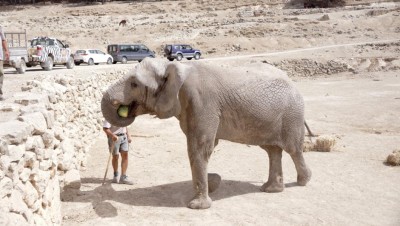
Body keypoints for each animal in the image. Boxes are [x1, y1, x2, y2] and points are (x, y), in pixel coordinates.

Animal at [101, 57, 312, 208]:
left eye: (134, 84)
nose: (123, 108)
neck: (174, 65)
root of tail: (292, 81)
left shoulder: (202, 102)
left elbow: (200, 148)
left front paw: (197, 205)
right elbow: (200, 146)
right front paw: (213, 181)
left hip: (292, 114)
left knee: (293, 149)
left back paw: (303, 181)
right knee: (272, 150)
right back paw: (271, 189)